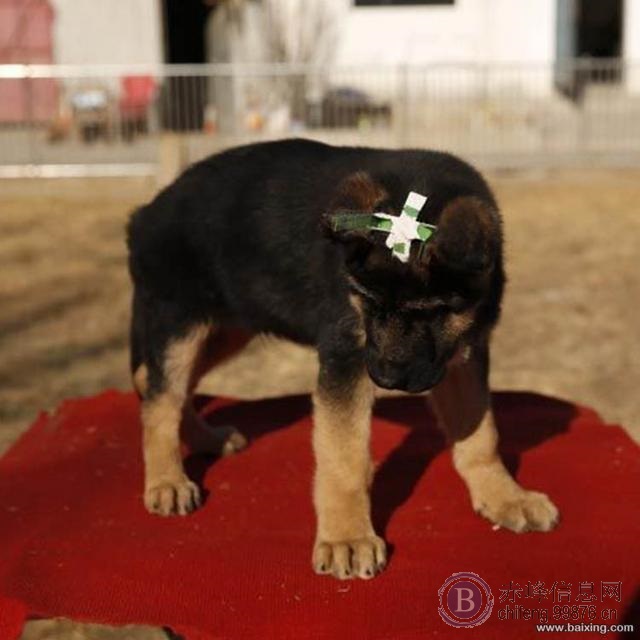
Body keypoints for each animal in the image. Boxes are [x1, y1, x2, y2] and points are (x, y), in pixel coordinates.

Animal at [127, 139, 556, 580]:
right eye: (366, 300)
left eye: (433, 310)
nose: (384, 379)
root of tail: (146, 213)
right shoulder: (345, 358)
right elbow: (343, 457)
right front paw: (347, 539)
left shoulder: (462, 356)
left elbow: (480, 432)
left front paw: (504, 496)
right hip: (181, 322)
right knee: (161, 397)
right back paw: (166, 481)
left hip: (228, 326)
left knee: (160, 382)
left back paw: (206, 439)